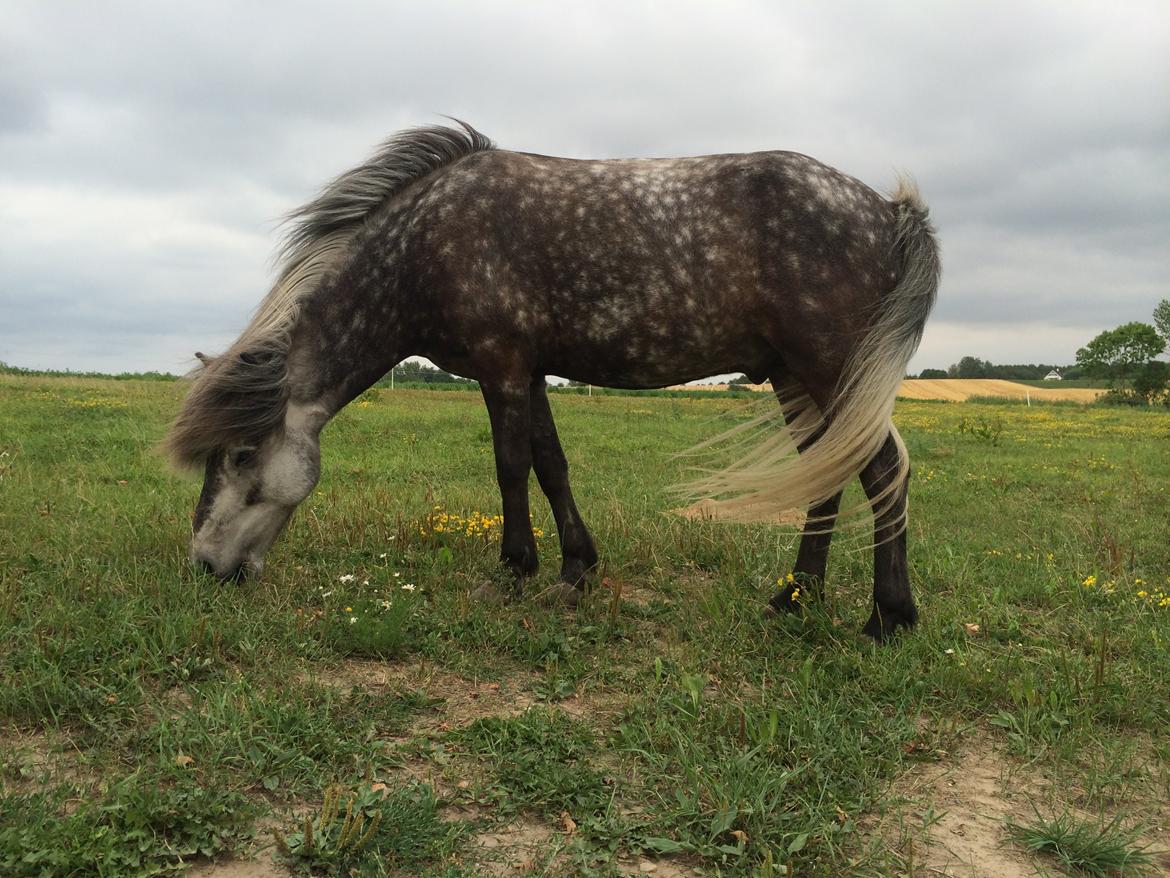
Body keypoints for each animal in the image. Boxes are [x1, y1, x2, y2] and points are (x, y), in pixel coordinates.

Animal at [169, 120, 940, 641]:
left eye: (241, 455)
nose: (205, 567)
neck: (425, 246)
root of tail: (888, 211)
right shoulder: (531, 372)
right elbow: (552, 464)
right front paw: (575, 572)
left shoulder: (502, 366)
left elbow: (511, 467)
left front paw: (515, 571)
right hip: (794, 378)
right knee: (829, 475)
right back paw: (794, 599)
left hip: (831, 369)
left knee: (881, 471)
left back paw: (887, 618)